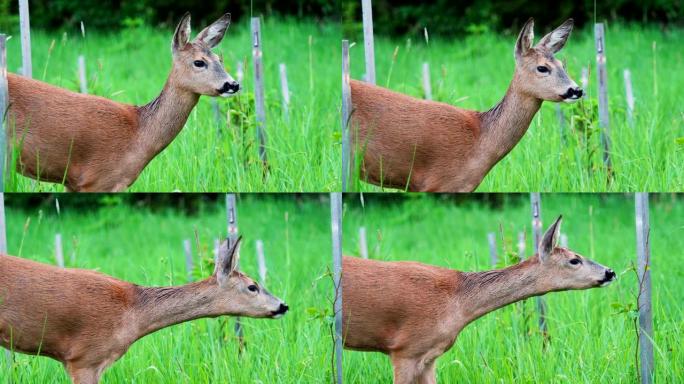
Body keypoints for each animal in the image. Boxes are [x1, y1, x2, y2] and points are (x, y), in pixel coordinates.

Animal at [5, 12, 239, 191]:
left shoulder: (73, 183)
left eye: (220, 59)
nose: (233, 84)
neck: (139, 134)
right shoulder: (98, 179)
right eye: (199, 62)